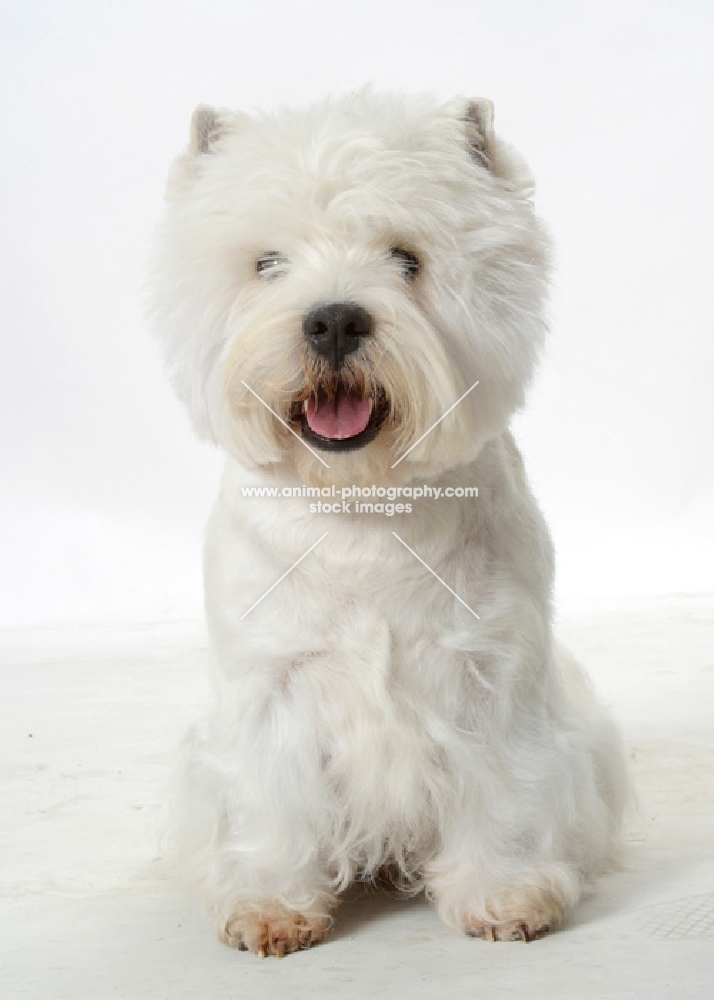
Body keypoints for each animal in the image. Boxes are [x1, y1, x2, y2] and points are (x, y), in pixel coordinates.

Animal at [149, 90, 624, 956]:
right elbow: (267, 801)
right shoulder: (272, 682)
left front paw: (503, 895)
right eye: (267, 263)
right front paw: (270, 905)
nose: (334, 321)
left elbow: (504, 788)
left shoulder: (488, 674)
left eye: (406, 259)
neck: (360, 508)